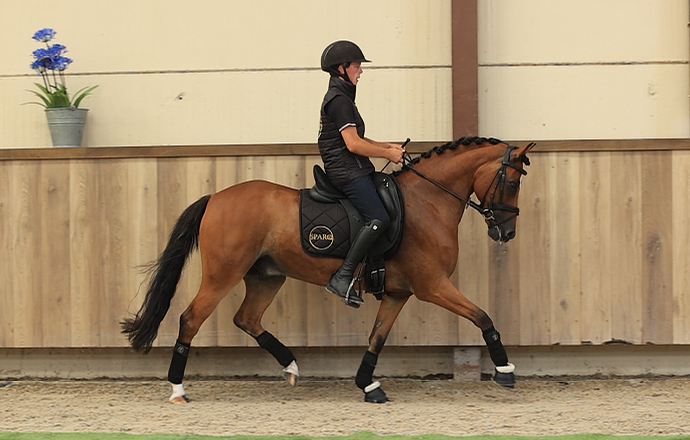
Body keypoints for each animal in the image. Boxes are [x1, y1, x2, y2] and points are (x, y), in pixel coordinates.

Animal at [121, 136, 535, 404]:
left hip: (267, 276)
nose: (507, 233)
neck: (426, 202)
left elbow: (377, 337)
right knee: (191, 319)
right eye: (513, 182)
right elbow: (482, 317)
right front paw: (505, 370)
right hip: (223, 274)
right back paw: (178, 390)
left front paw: (368, 385)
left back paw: (290, 366)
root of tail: (215, 198)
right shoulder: (432, 285)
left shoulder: (399, 292)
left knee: (247, 319)